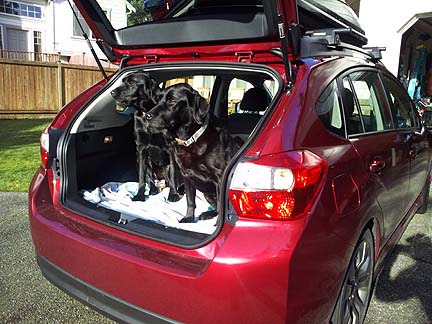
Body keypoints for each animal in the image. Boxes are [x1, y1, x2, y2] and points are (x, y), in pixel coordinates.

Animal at [110, 72, 181, 201]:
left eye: (131, 82)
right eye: (123, 81)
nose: (112, 92)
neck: (147, 113)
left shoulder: (171, 148)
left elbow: (173, 175)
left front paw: (173, 194)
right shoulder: (141, 148)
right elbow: (142, 177)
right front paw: (139, 195)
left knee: (168, 180)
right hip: (143, 161)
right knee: (150, 179)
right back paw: (153, 190)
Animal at [143, 83, 241, 223]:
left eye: (172, 101)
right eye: (158, 100)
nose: (147, 116)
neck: (191, 138)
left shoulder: (220, 176)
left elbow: (221, 205)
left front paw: (217, 224)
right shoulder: (187, 174)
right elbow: (190, 200)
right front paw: (188, 218)